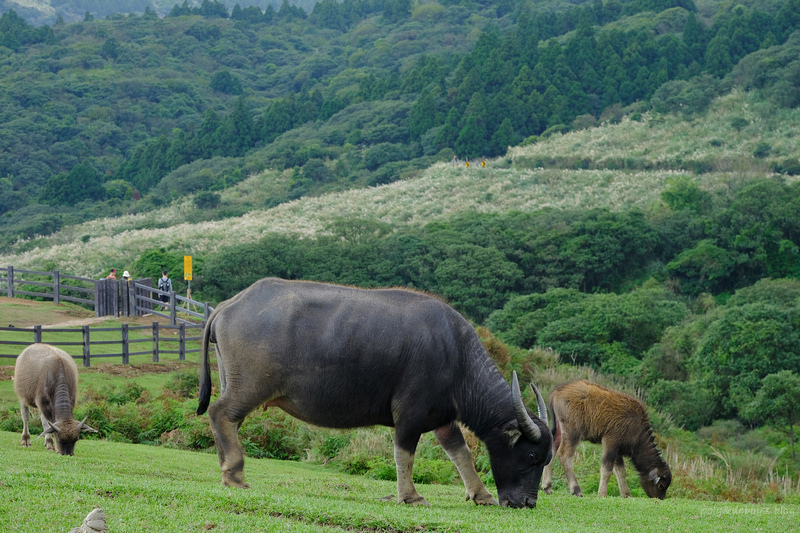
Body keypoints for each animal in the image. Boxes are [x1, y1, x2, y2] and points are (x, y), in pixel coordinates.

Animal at [197, 278, 552, 508]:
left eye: (546, 459)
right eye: (531, 457)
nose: (528, 503)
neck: (457, 357)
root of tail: (229, 305)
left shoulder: (443, 417)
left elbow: (460, 453)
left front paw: (481, 494)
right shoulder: (410, 414)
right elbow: (404, 454)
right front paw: (410, 496)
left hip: (233, 380)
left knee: (225, 421)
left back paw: (225, 468)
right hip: (251, 385)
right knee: (221, 413)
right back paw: (235, 473)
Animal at [540, 380, 672, 496]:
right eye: (661, 485)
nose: (659, 498)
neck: (638, 431)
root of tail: (558, 391)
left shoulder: (618, 450)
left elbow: (621, 471)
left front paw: (626, 494)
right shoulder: (611, 443)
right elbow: (607, 469)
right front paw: (602, 493)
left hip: (560, 430)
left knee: (553, 448)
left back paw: (547, 487)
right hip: (572, 433)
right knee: (564, 455)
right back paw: (576, 490)